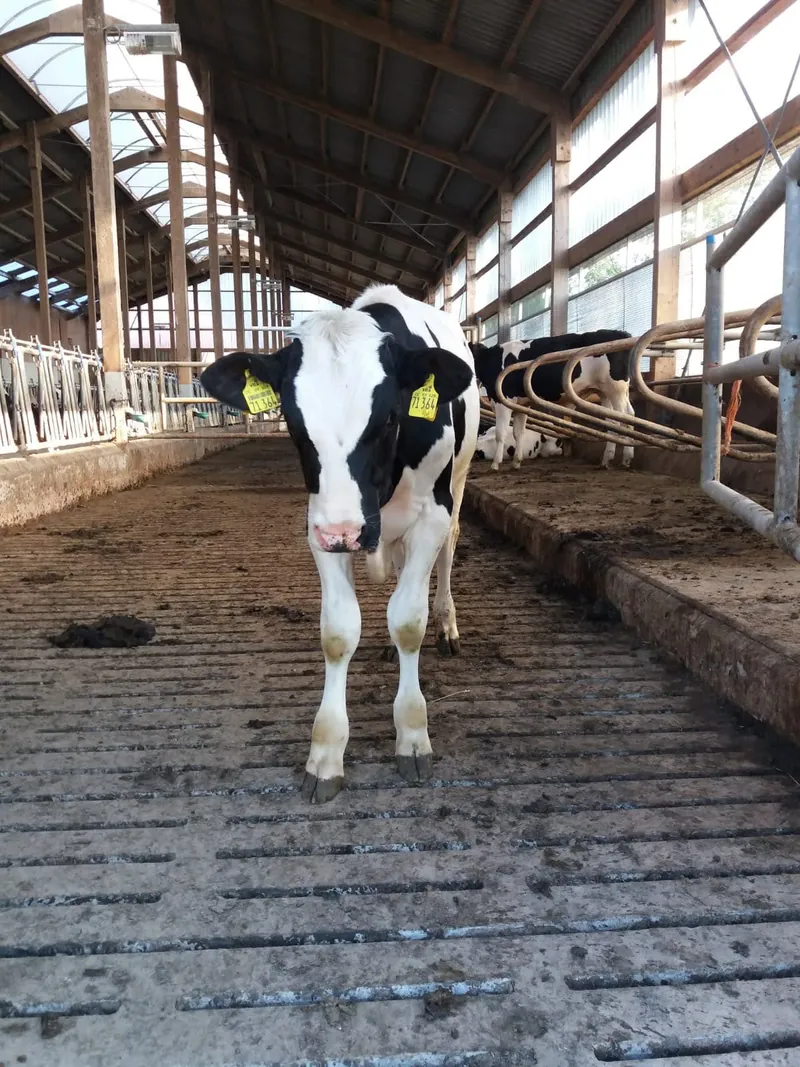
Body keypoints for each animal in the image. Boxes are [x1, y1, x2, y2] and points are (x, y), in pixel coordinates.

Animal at [200, 283, 479, 803]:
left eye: (388, 416)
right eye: (292, 421)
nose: (346, 533)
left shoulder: (430, 513)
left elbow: (409, 621)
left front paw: (412, 735)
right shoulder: (319, 523)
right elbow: (338, 632)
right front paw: (326, 754)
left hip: (461, 476)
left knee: (448, 552)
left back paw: (448, 625)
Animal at [470, 331, 634, 471]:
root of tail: (622, 334)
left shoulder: (502, 402)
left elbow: (500, 433)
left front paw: (495, 464)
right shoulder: (521, 405)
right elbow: (518, 433)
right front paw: (516, 462)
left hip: (615, 389)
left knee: (622, 420)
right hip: (606, 393)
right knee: (622, 418)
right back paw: (618, 459)